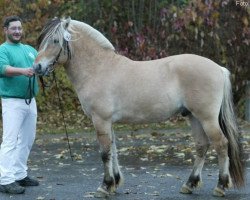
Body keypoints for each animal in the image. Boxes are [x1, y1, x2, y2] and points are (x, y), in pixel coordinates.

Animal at [32, 16, 244, 197]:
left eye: (55, 41)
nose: (37, 67)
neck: (99, 68)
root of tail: (219, 68)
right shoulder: (108, 122)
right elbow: (113, 149)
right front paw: (115, 183)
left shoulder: (101, 120)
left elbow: (105, 153)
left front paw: (104, 186)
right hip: (193, 117)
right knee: (202, 146)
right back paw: (189, 184)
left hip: (207, 118)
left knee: (221, 144)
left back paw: (220, 186)